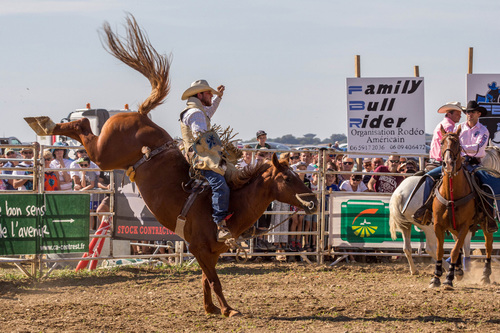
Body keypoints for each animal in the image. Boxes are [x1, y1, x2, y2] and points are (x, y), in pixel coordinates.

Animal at [23, 15, 316, 316]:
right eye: (288, 179)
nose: (313, 201)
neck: (234, 202)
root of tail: (141, 114)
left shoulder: (210, 253)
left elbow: (206, 280)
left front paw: (211, 308)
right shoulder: (199, 248)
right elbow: (215, 280)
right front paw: (228, 309)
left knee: (82, 124)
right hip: (104, 154)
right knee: (82, 124)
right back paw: (44, 123)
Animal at [428, 126, 494, 290]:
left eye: (457, 143)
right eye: (442, 142)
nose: (448, 164)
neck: (452, 193)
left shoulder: (464, 226)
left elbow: (454, 250)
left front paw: (448, 279)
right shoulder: (438, 225)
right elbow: (440, 251)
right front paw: (436, 277)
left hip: (486, 224)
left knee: (488, 246)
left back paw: (485, 275)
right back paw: (458, 270)